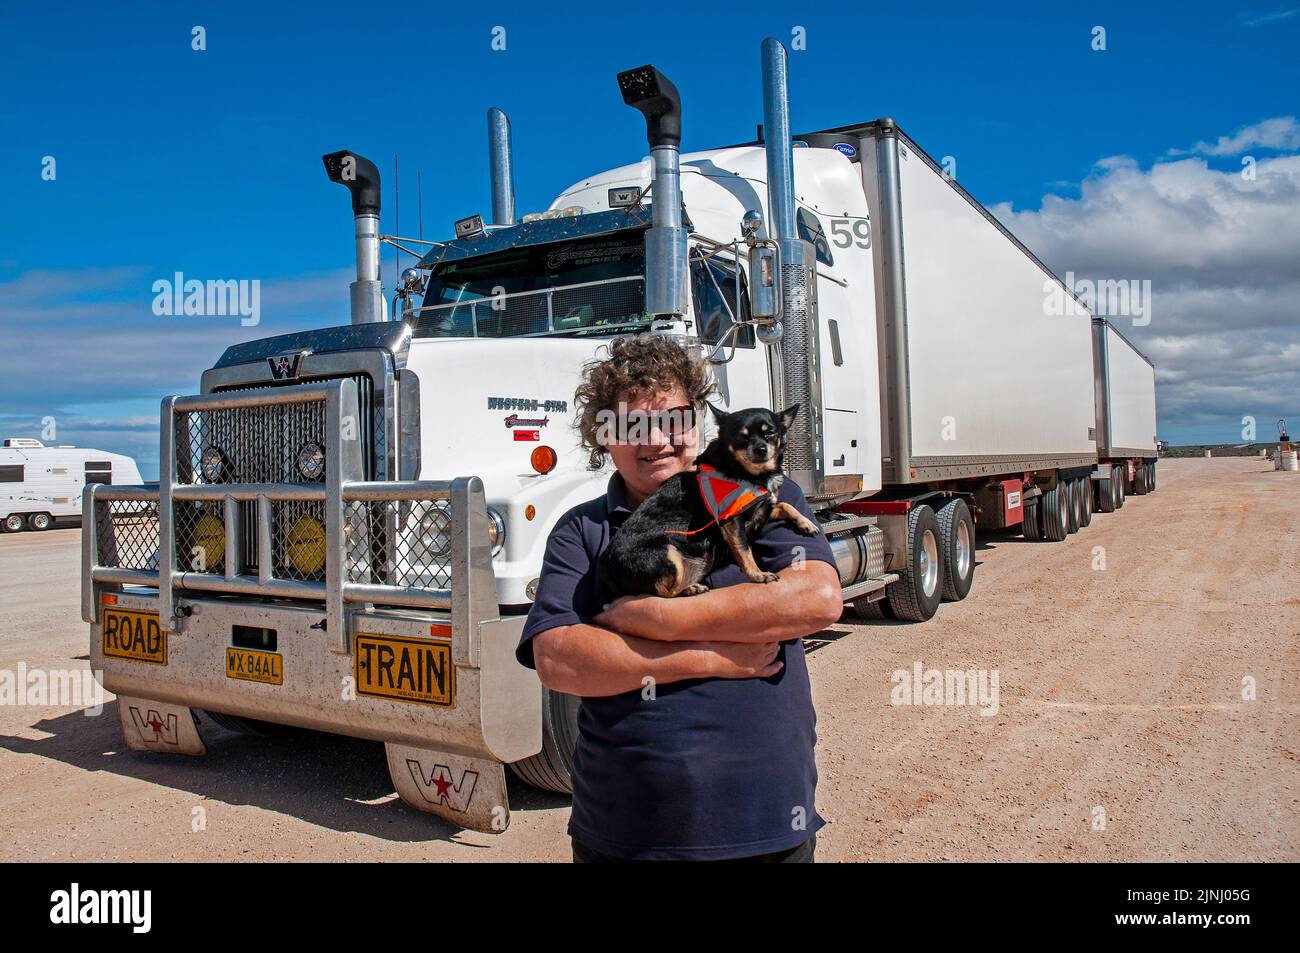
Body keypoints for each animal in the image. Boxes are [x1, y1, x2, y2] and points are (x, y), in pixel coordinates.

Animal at [600, 403, 821, 598]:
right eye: (742, 437)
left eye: (770, 433)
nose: (760, 449)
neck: (748, 474)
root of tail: (608, 572)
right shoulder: (732, 521)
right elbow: (745, 552)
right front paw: (758, 575)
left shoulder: (762, 509)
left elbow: (784, 504)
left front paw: (807, 523)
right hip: (667, 551)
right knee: (661, 592)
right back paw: (690, 589)